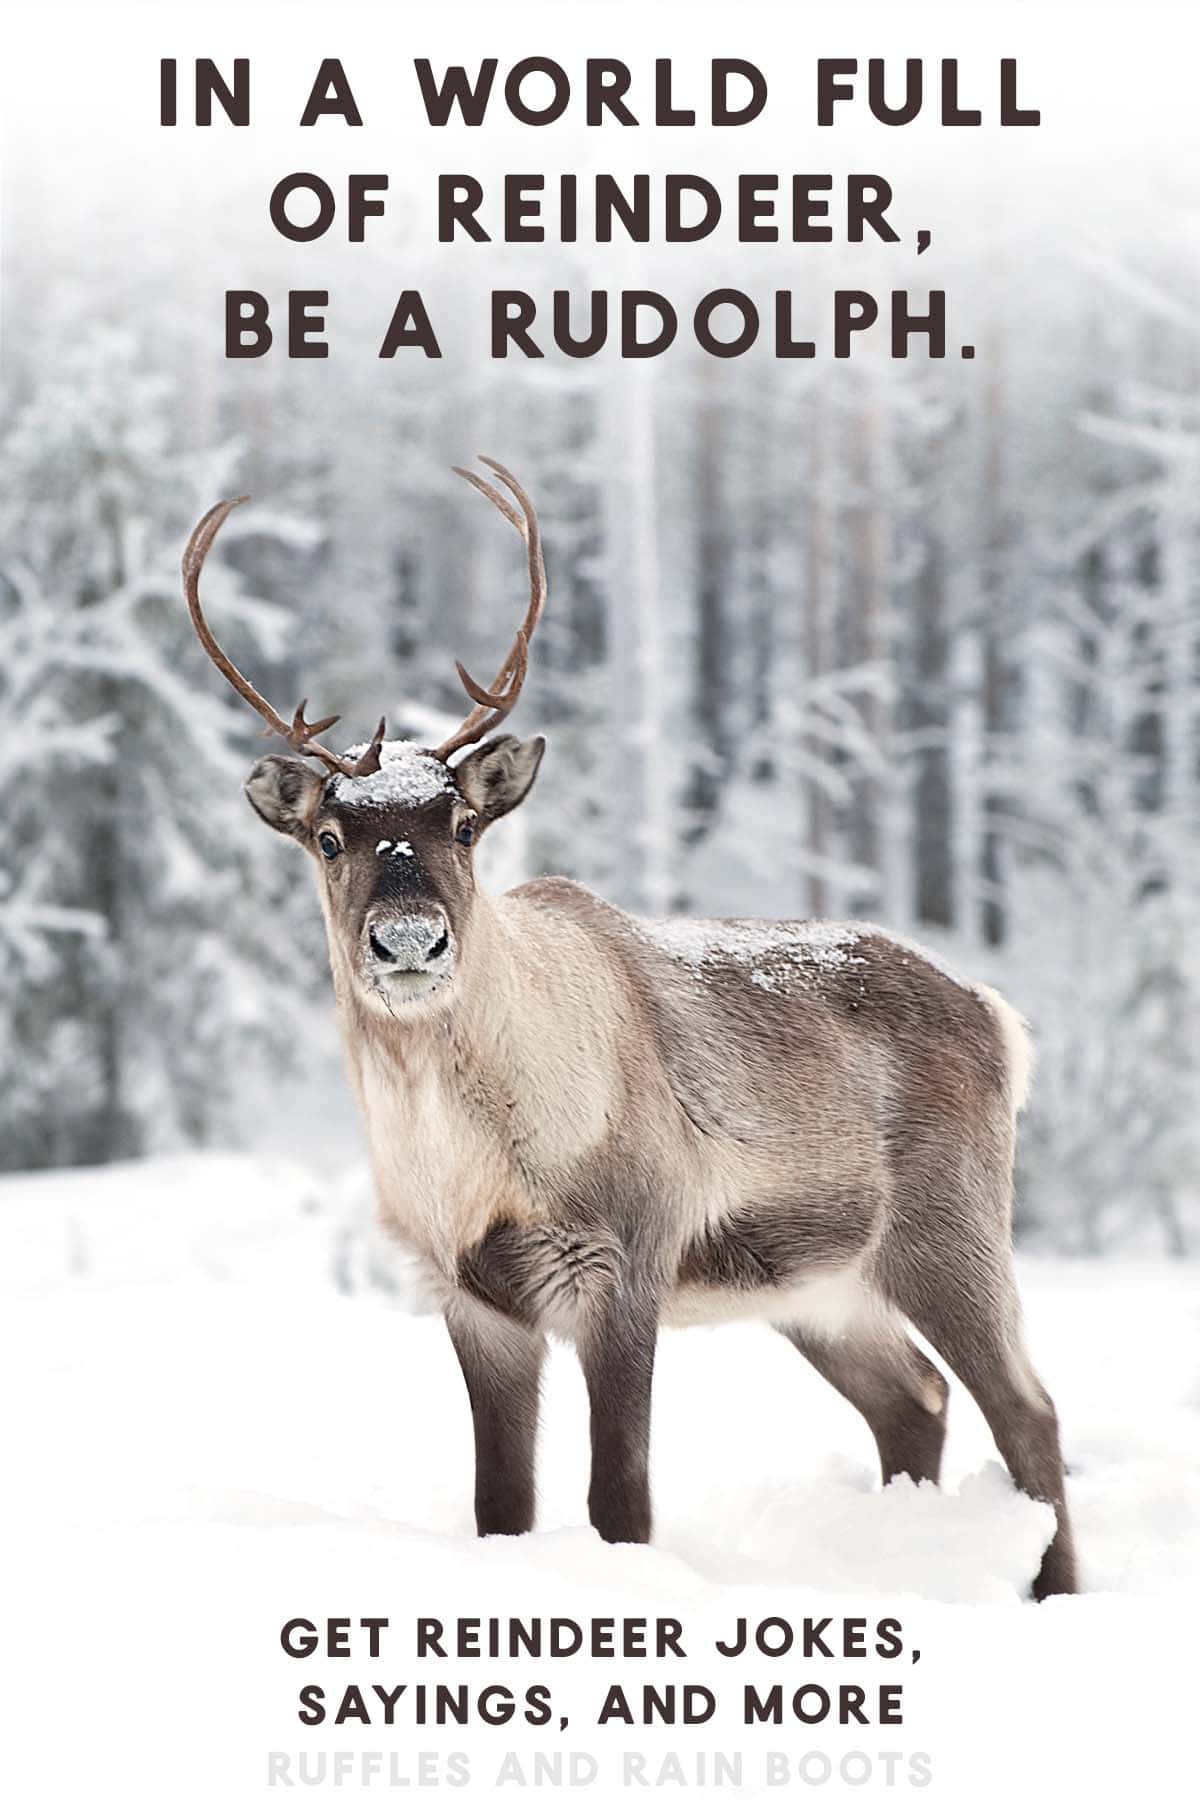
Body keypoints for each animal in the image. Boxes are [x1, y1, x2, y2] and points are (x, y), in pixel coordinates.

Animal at [183, 457, 1076, 1600]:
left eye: (463, 826)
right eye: (330, 837)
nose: (410, 942)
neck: (466, 1159)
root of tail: (997, 1017)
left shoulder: (622, 1262)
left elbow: (621, 1502)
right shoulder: (472, 1298)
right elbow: (501, 1507)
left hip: (948, 1229)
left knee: (1028, 1411)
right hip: (822, 1287)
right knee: (915, 1399)